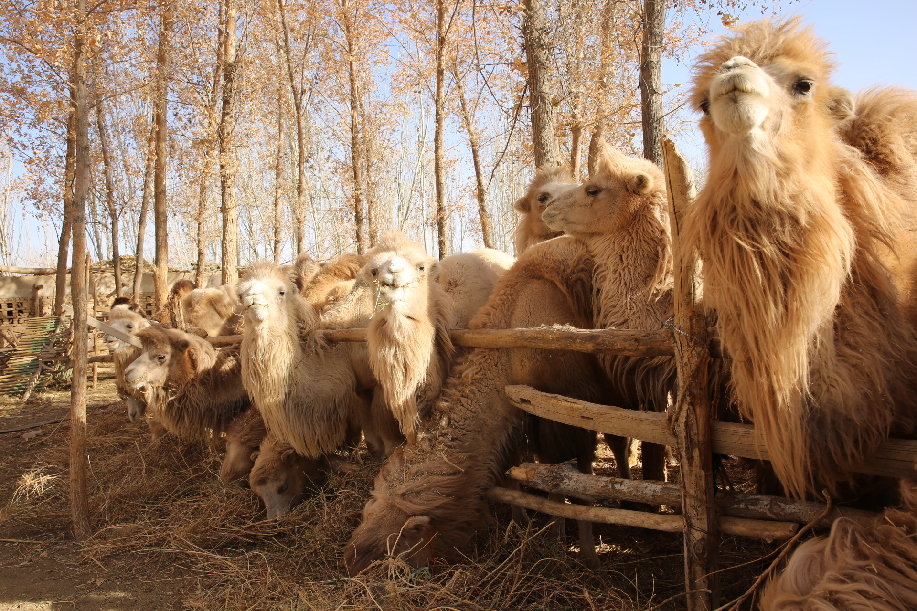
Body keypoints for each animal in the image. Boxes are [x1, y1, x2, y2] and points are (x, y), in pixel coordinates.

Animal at [342, 234, 600, 572]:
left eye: (398, 544)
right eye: (372, 271)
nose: (351, 558)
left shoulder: (572, 405)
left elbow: (573, 481)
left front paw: (584, 552)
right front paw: (529, 527)